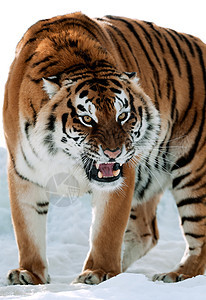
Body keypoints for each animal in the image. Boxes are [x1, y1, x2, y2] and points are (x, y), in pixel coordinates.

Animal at [3, 11, 206, 284]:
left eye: (123, 115)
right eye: (87, 119)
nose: (114, 152)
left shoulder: (122, 177)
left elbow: (107, 230)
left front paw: (98, 272)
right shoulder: (23, 173)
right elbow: (27, 230)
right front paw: (28, 273)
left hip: (193, 169)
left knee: (198, 238)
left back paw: (176, 275)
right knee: (146, 232)